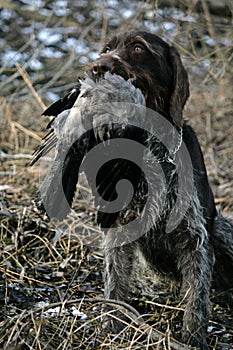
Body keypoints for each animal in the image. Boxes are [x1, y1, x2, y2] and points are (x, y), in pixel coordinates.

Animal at [31, 31, 233, 348]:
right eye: (106, 48)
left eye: (138, 48)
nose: (96, 67)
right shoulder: (119, 230)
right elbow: (115, 281)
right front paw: (111, 325)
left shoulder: (195, 237)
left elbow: (197, 294)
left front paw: (193, 336)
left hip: (224, 230)